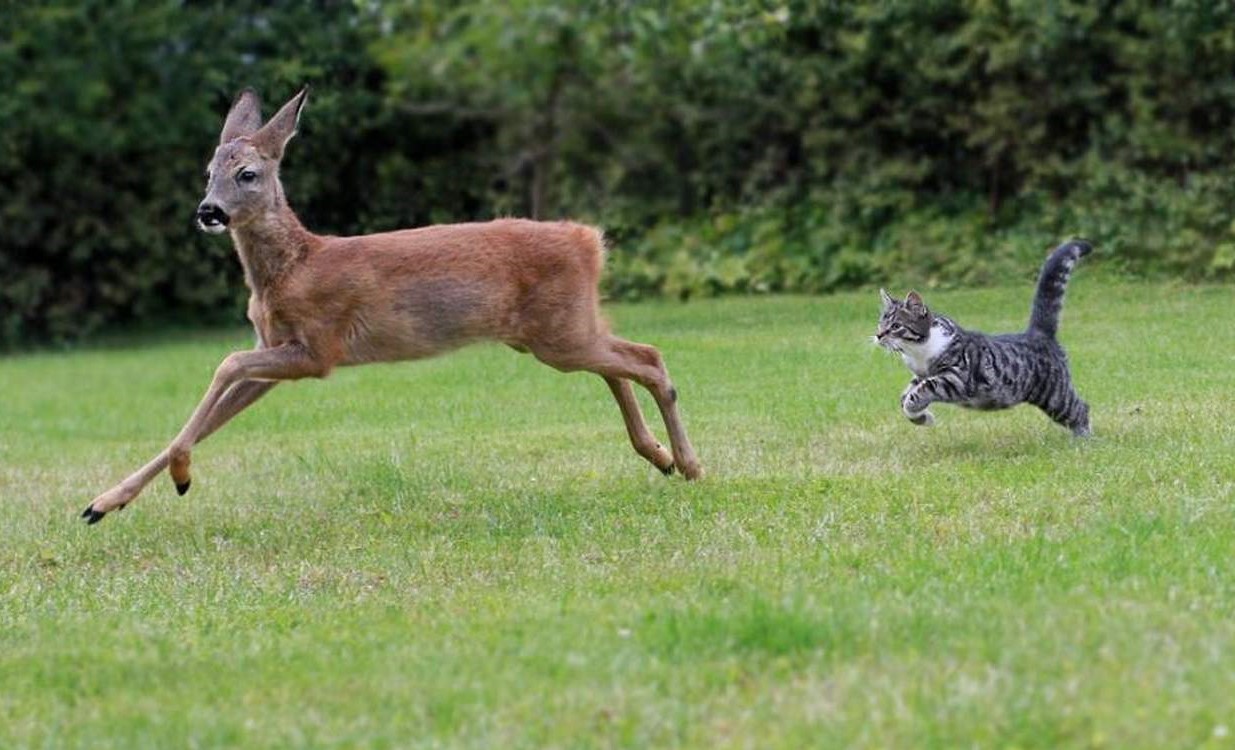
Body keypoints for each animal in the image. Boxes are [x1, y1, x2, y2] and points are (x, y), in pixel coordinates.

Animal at [82, 86, 706, 521]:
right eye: (208, 172)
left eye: (249, 174)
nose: (208, 211)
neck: (293, 267)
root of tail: (588, 240)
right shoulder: (280, 349)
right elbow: (214, 412)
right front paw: (103, 503)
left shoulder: (319, 348)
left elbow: (225, 363)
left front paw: (182, 475)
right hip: (558, 330)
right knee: (621, 363)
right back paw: (659, 455)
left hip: (559, 333)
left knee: (647, 357)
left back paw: (690, 463)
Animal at [874, 240, 1096, 437]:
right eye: (880, 323)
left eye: (896, 326)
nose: (878, 335)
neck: (919, 351)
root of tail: (1039, 333)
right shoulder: (919, 376)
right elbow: (904, 396)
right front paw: (922, 418)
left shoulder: (956, 378)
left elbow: (921, 392)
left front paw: (917, 410)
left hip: (1054, 395)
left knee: (1080, 408)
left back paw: (1083, 438)